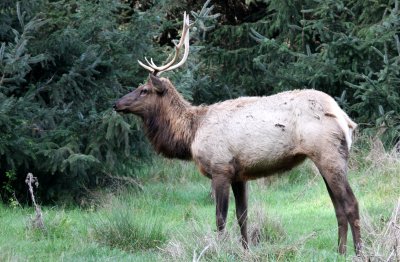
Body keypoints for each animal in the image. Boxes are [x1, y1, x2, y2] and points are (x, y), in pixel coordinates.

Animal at [113, 13, 362, 255]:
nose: (117, 104)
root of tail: (345, 119)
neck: (191, 135)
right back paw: (340, 252)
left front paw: (220, 250)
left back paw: (359, 252)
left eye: (144, 90)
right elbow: (243, 216)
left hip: (328, 154)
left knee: (351, 204)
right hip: (325, 158)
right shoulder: (240, 174)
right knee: (338, 207)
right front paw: (245, 250)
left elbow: (220, 218)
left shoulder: (220, 168)